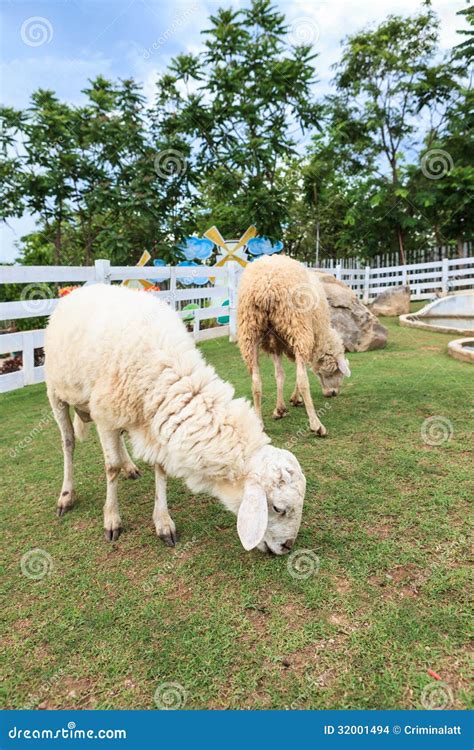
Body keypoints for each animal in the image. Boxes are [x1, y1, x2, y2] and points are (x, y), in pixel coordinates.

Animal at [43, 284, 304, 556]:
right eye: (278, 508)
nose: (287, 546)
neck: (168, 372)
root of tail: (80, 289)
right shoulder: (106, 416)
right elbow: (111, 467)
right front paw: (112, 519)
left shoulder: (153, 421)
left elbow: (160, 468)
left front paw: (163, 522)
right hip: (56, 393)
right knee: (68, 443)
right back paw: (66, 495)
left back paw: (130, 467)